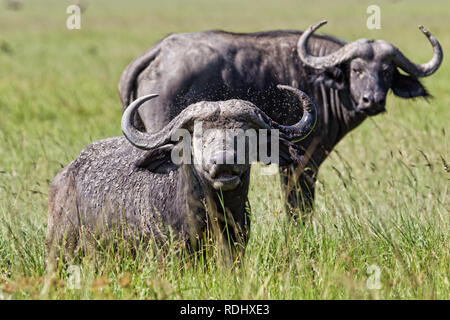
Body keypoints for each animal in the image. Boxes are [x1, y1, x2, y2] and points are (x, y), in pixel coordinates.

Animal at [118, 20, 442, 218]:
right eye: (357, 69)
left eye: (386, 70)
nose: (372, 100)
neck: (322, 82)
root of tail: (158, 51)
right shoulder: (304, 162)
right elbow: (298, 207)